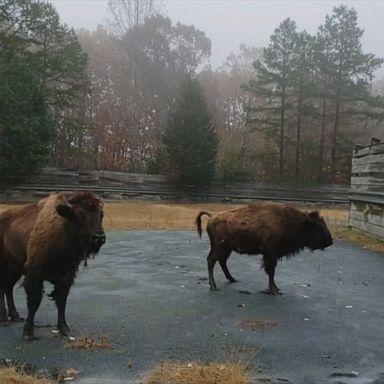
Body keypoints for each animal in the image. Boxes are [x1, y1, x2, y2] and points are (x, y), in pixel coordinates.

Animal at [0, 192, 105, 340]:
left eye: (101, 214)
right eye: (78, 215)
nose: (99, 237)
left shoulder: (66, 277)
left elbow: (61, 301)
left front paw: (64, 328)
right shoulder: (35, 274)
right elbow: (34, 301)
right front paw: (28, 333)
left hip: (15, 268)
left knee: (8, 287)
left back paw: (15, 316)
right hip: (3, 263)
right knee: (3, 287)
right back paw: (4, 319)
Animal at [195, 204, 332, 294]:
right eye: (319, 227)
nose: (330, 242)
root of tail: (212, 216)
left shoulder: (271, 254)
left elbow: (270, 271)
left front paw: (275, 288)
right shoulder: (270, 253)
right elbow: (271, 271)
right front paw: (274, 290)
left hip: (226, 249)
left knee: (221, 261)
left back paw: (232, 279)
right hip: (219, 247)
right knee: (211, 261)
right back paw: (213, 286)